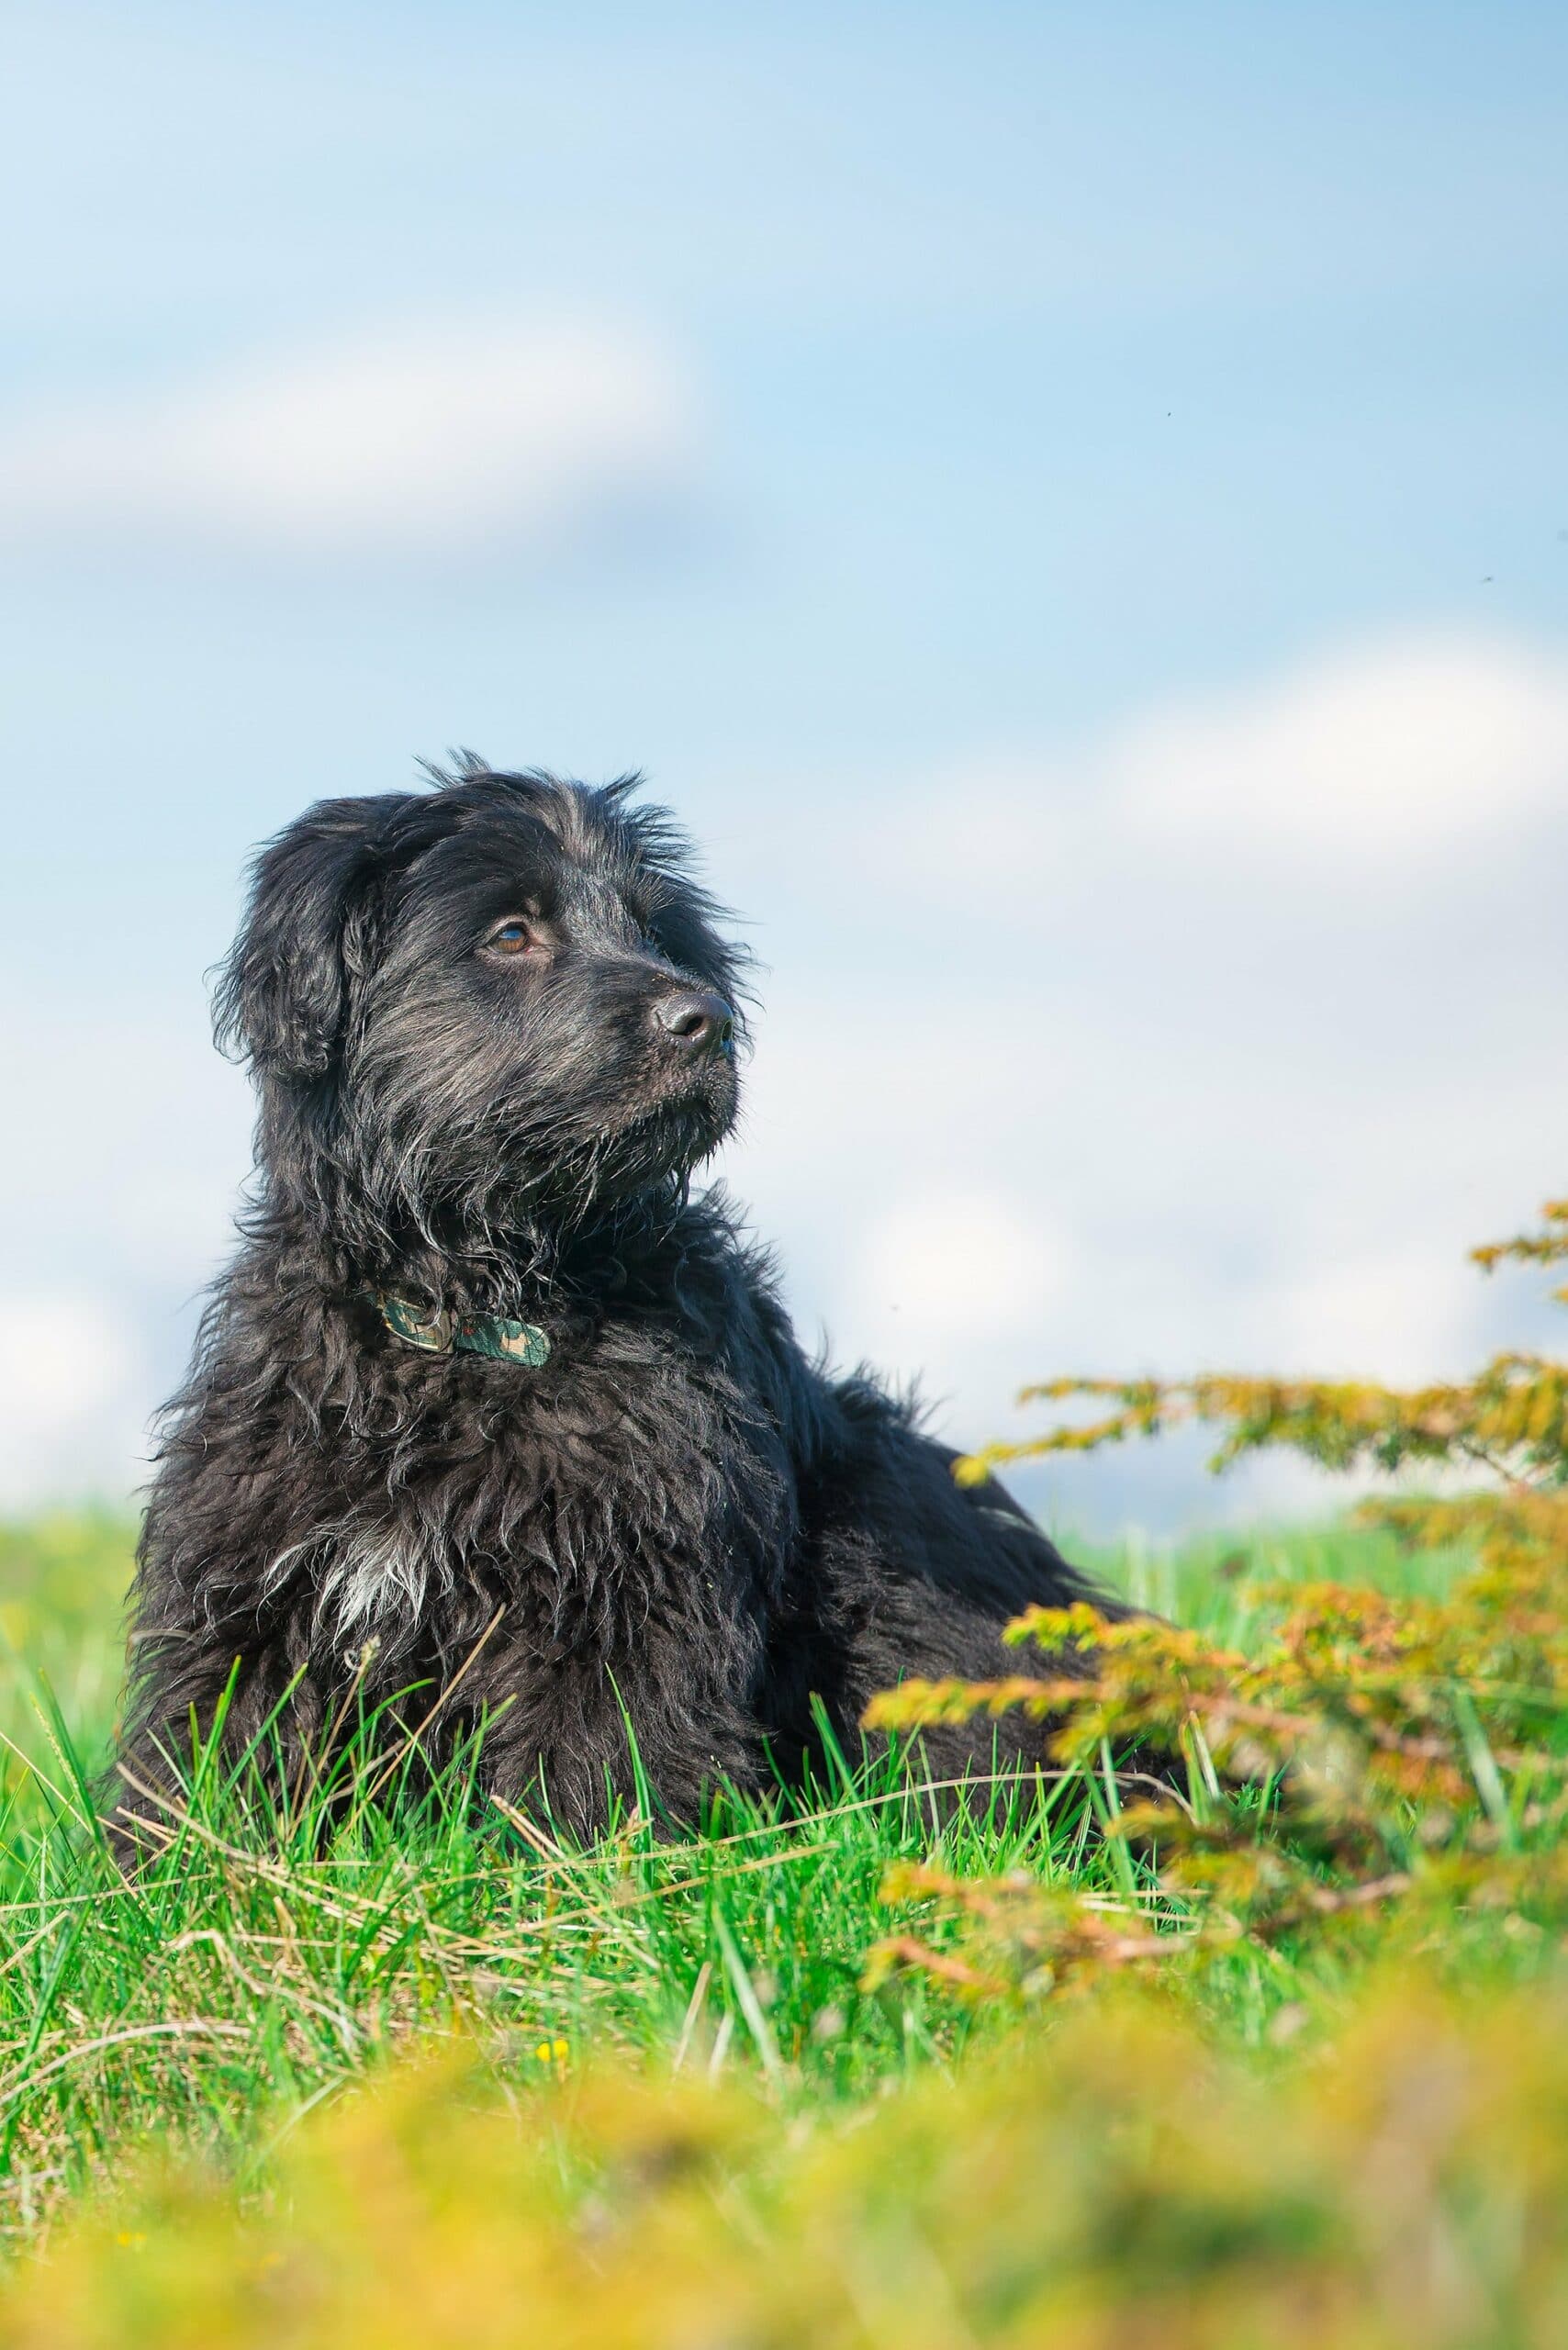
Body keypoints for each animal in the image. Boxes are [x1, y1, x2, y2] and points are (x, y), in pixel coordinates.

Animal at [122, 761, 1124, 1842]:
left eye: (656, 931)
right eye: (511, 932)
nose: (706, 1019)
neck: (474, 1322)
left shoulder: (631, 1579)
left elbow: (599, 1761)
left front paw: (575, 1869)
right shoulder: (257, 1568)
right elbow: (218, 1741)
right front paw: (176, 1863)